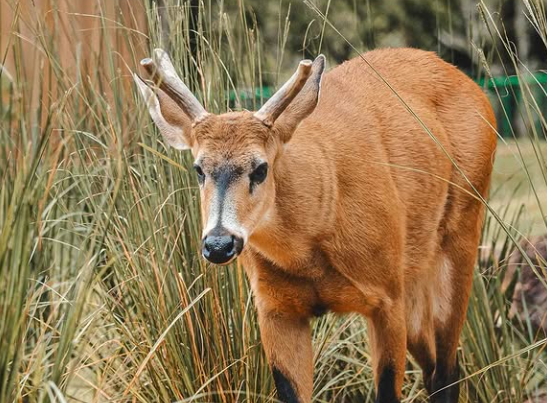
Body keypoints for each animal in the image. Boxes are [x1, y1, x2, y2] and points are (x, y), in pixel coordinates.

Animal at [133, 48, 496, 403]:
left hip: (463, 228)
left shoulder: (387, 296)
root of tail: (475, 89)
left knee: (447, 372)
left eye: (261, 168)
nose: (219, 244)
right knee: (436, 368)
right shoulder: (276, 308)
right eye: (198, 169)